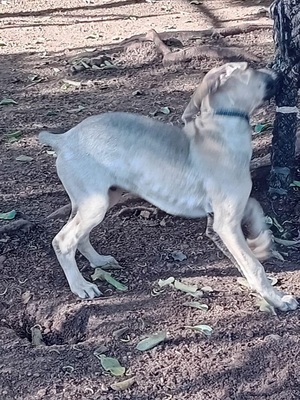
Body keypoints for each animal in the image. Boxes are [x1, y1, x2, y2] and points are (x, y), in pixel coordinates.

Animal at [39, 63, 298, 312]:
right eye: (250, 68)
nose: (280, 72)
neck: (219, 129)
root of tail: (63, 139)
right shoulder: (226, 223)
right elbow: (254, 266)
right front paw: (277, 298)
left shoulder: (226, 212)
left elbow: (256, 209)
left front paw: (261, 243)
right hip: (95, 204)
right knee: (63, 241)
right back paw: (81, 286)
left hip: (103, 197)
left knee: (79, 236)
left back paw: (99, 261)